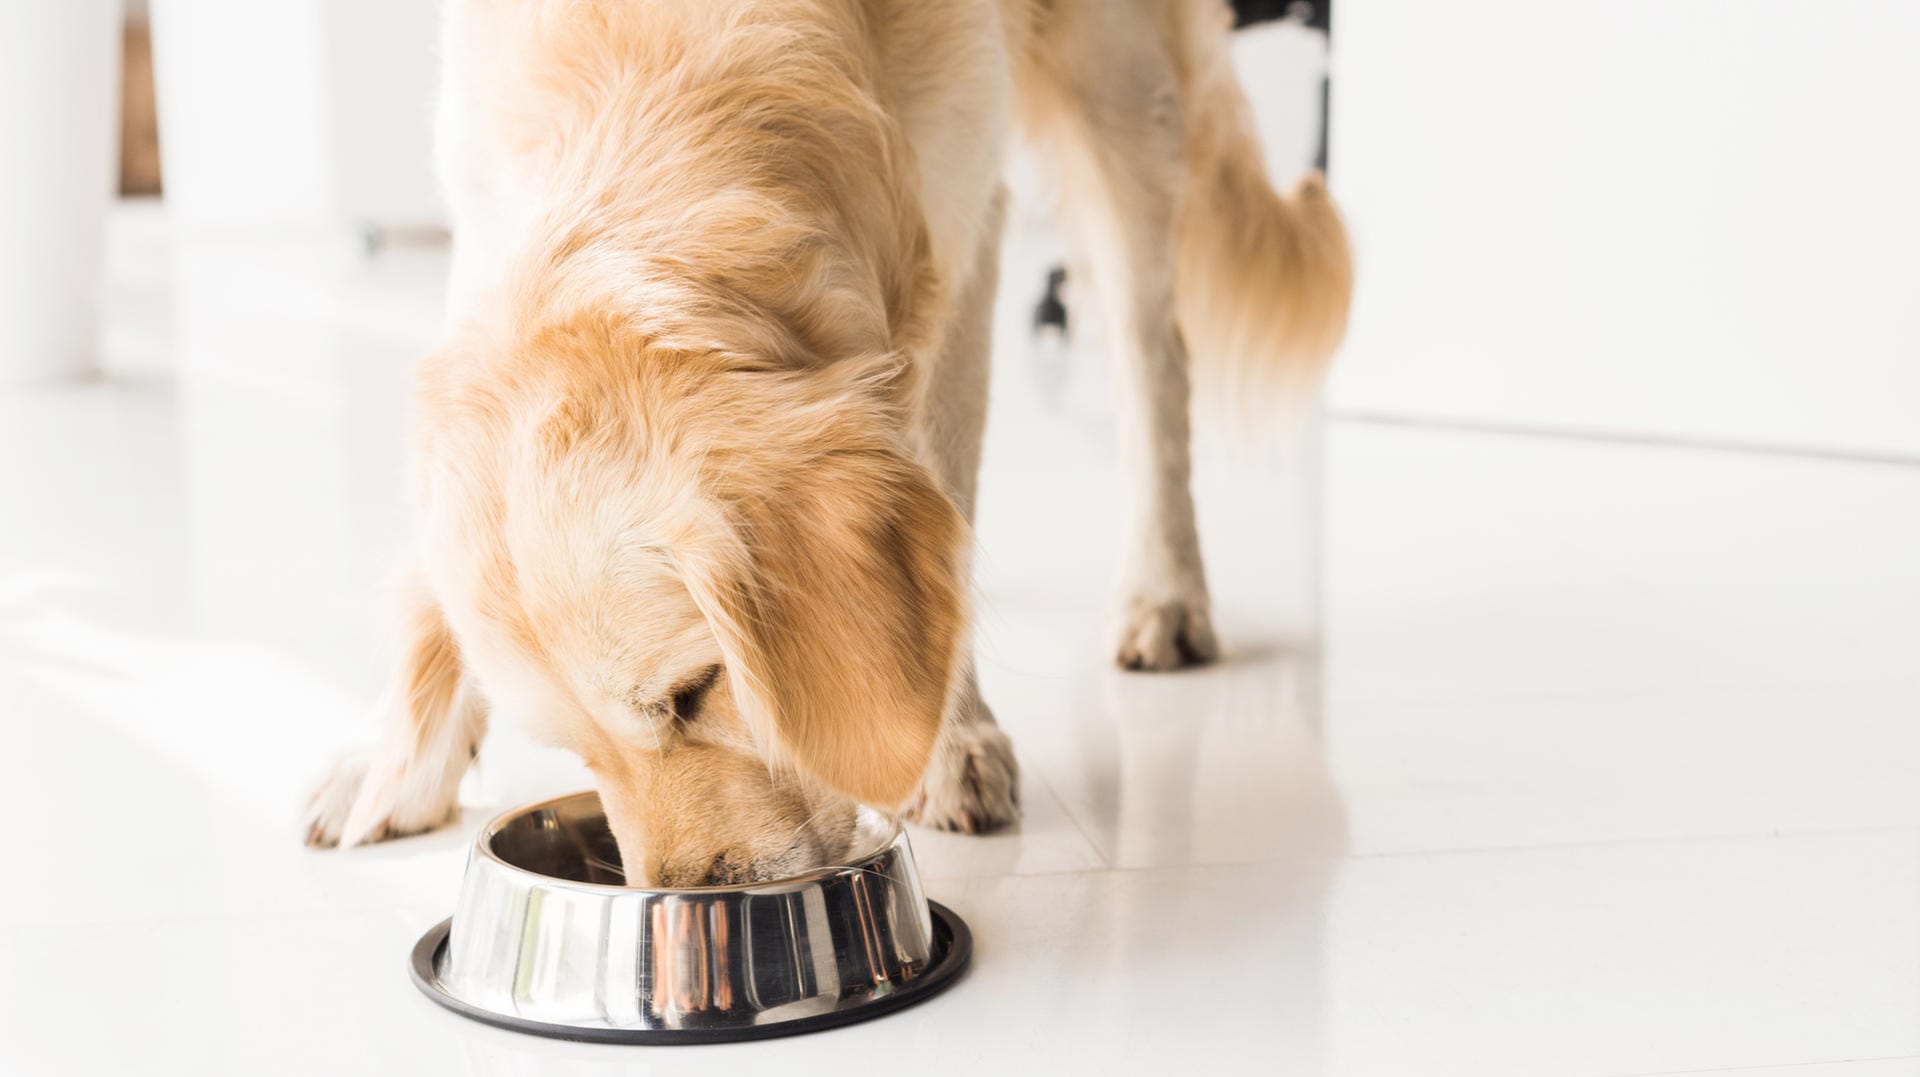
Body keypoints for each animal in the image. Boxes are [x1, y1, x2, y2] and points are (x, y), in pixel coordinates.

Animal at [299, 0, 1351, 883]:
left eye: (695, 692)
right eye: (573, 749)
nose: (689, 898)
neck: (659, 55)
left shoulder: (959, 217)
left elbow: (943, 474)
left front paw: (947, 741)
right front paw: (395, 757)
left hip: (1122, 82)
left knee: (1151, 355)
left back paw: (1164, 591)